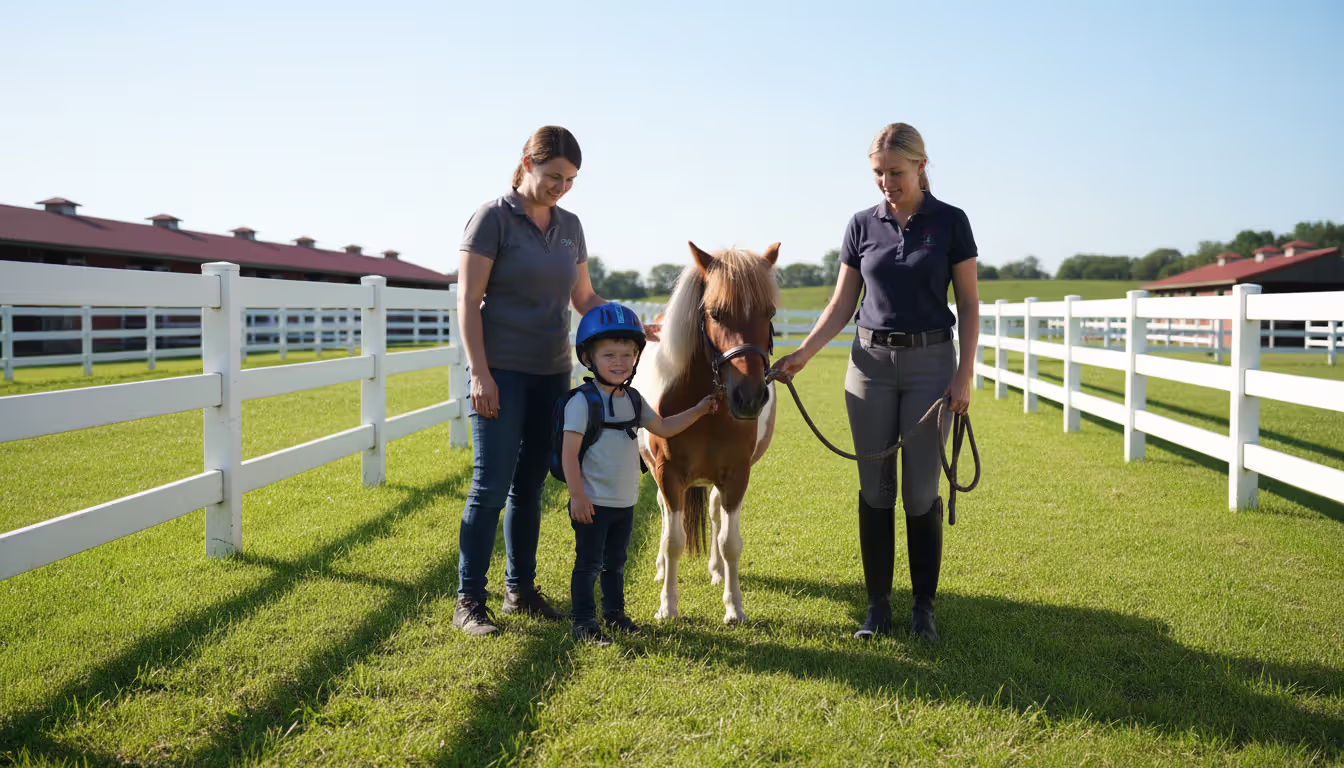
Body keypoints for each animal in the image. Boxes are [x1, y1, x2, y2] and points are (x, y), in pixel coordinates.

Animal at [634, 242, 780, 623]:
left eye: (770, 311)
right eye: (715, 312)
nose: (750, 396)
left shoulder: (737, 476)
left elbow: (731, 542)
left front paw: (734, 607)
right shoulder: (668, 473)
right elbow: (674, 540)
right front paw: (668, 605)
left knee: (714, 514)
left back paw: (715, 571)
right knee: (664, 514)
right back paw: (660, 569)